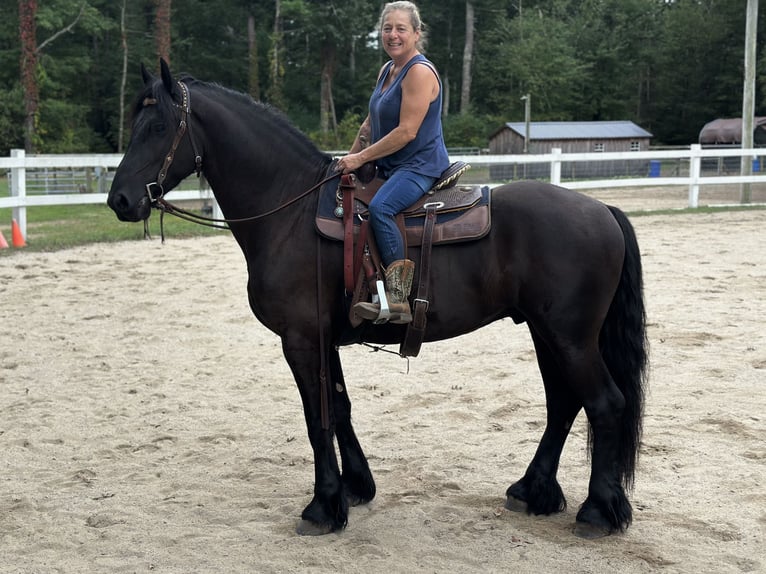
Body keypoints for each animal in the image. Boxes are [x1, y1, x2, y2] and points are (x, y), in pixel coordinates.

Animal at [108, 60, 648, 539]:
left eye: (158, 126)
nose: (120, 200)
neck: (289, 211)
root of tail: (602, 209)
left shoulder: (300, 340)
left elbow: (317, 418)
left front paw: (323, 507)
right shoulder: (323, 338)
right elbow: (339, 408)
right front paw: (354, 488)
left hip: (569, 337)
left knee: (604, 403)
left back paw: (597, 513)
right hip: (546, 332)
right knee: (563, 403)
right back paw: (533, 491)